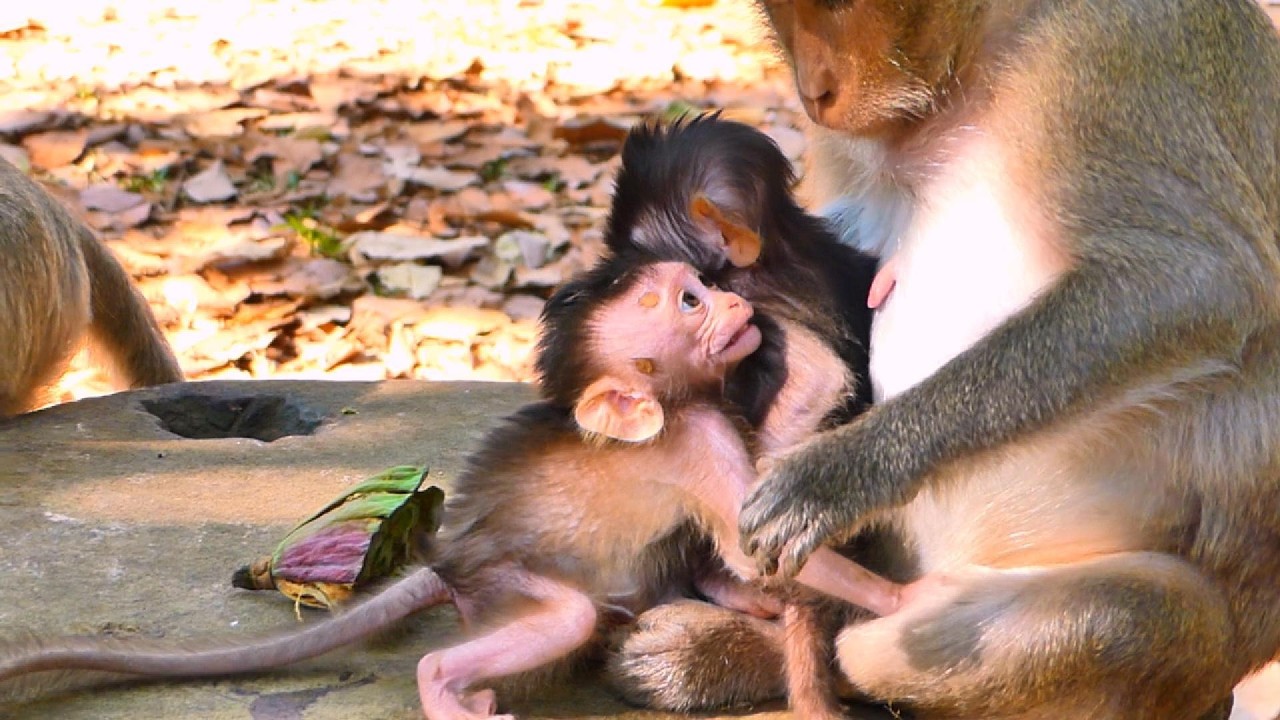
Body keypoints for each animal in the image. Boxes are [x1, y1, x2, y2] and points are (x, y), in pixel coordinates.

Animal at [0, 258, 902, 720]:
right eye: (688, 300)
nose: (737, 300)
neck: (674, 402)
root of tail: (454, 556)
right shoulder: (697, 440)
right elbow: (751, 535)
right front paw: (899, 598)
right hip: (508, 584)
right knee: (563, 618)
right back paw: (444, 686)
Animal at [603, 2, 1280, 720]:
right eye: (782, 14)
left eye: (839, 8)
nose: (813, 90)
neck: (967, 59)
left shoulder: (1107, 56)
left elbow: (1191, 283)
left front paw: (839, 474)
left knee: (1120, 619)